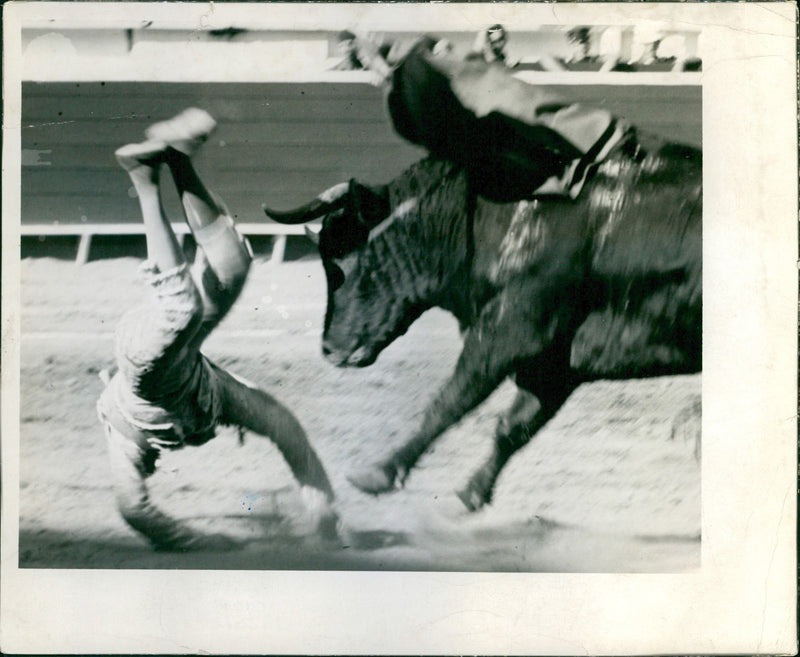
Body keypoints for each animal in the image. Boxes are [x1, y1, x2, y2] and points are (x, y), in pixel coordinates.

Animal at [264, 132, 700, 512]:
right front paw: (473, 493)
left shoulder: (509, 329)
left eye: (346, 259)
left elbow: (452, 399)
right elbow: (514, 425)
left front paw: (378, 472)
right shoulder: (553, 359)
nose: (330, 349)